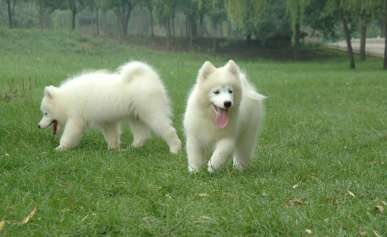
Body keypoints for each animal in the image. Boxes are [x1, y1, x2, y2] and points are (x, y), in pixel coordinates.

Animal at [37, 61, 182, 154]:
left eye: (45, 113)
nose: (38, 126)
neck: (66, 100)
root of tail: (151, 77)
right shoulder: (107, 122)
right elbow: (112, 136)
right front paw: (114, 149)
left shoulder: (76, 120)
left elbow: (68, 136)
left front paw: (60, 148)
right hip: (136, 117)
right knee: (141, 135)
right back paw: (132, 148)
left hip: (152, 113)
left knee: (169, 130)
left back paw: (175, 149)